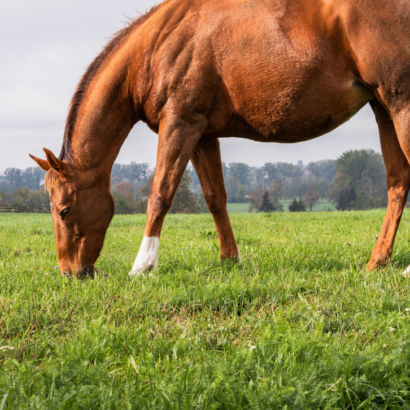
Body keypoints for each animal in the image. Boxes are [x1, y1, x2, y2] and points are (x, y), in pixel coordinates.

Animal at [30, 0, 410, 278]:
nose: (70, 272)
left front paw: (142, 266)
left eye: (64, 210)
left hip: (400, 106)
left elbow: (160, 195)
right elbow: (216, 198)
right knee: (397, 182)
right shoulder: (202, 135)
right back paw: (377, 262)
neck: (158, 47)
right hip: (383, 107)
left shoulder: (180, 124)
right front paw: (230, 259)